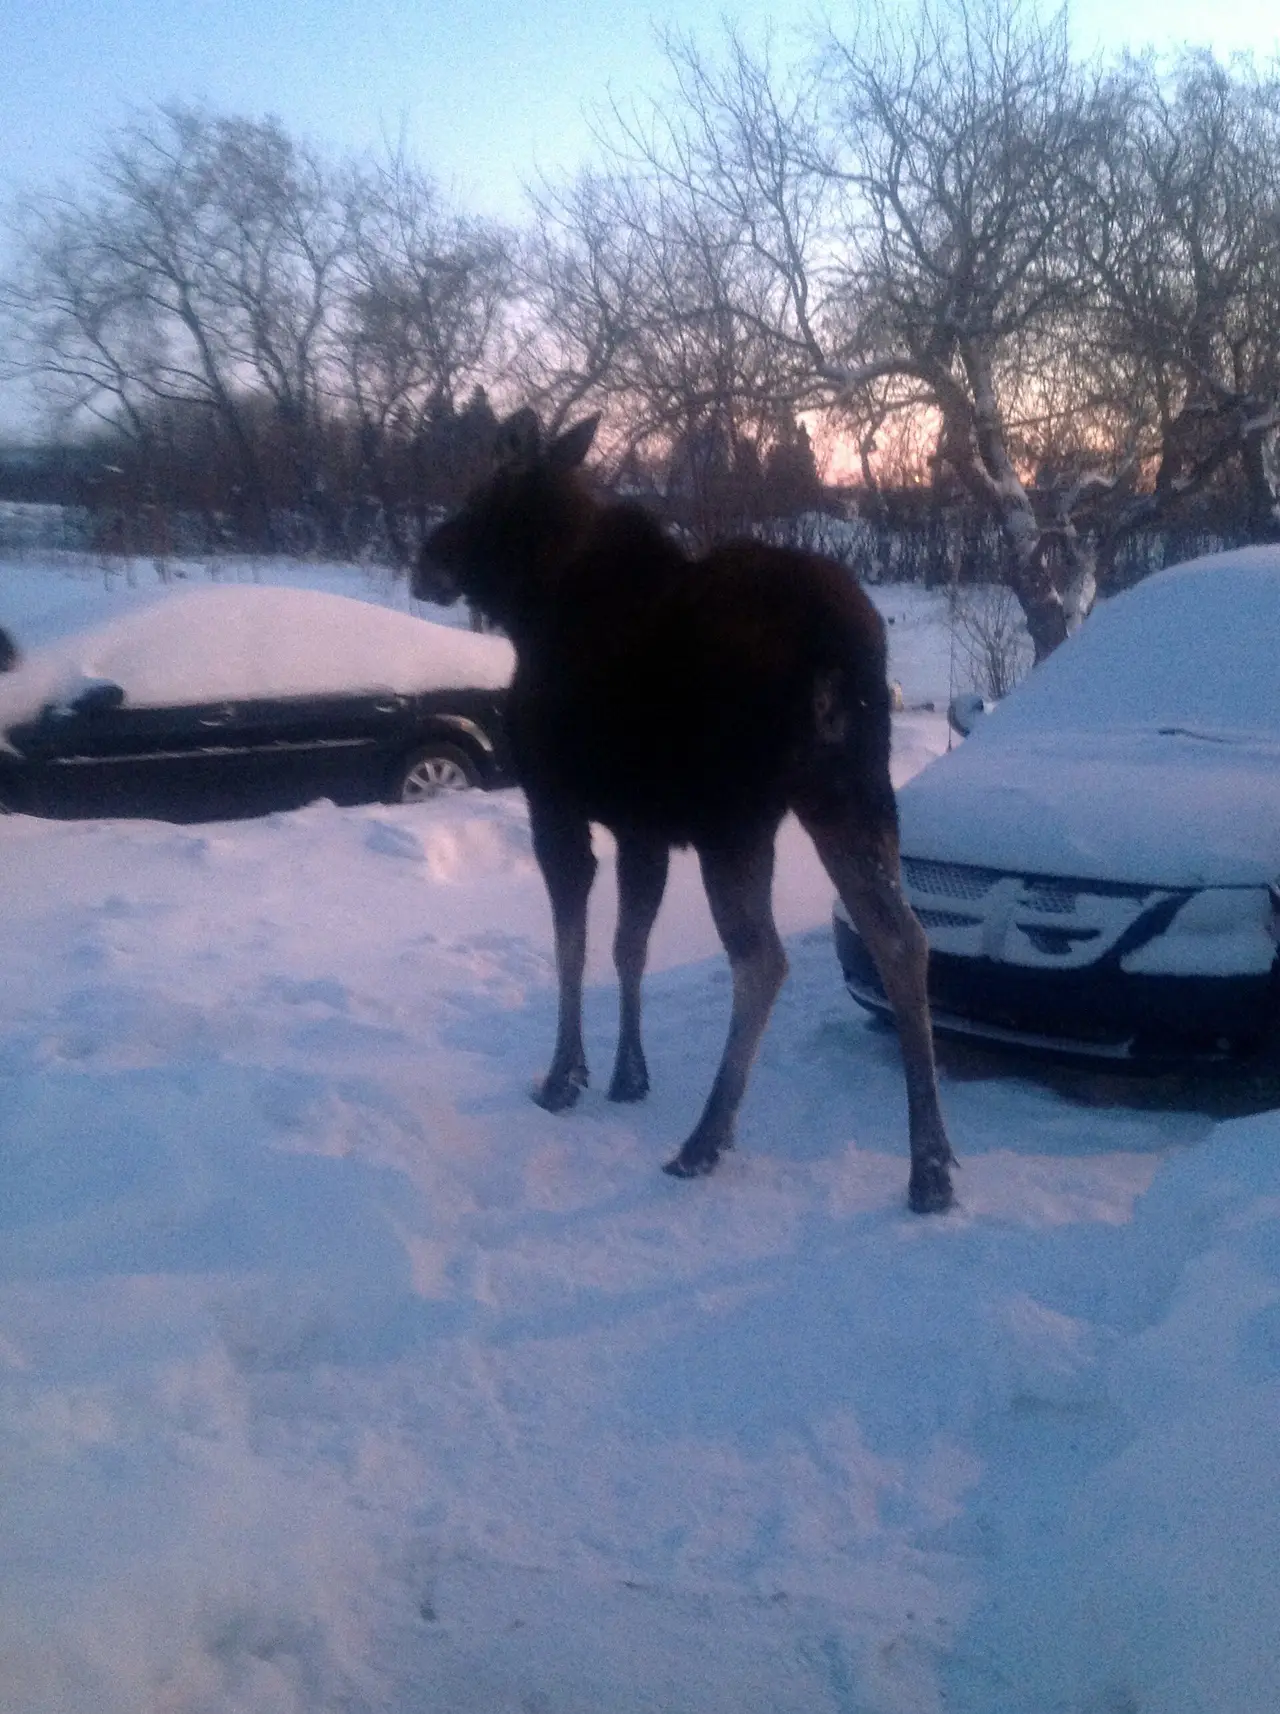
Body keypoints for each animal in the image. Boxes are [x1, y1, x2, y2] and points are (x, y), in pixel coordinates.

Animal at [414, 408, 955, 1213]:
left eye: (484, 492)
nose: (426, 560)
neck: (534, 607)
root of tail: (838, 644)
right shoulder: (643, 826)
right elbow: (628, 946)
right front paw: (628, 1074)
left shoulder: (556, 803)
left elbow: (573, 944)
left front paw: (564, 1076)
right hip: (850, 792)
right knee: (903, 939)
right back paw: (931, 1166)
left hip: (736, 818)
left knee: (763, 959)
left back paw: (706, 1138)